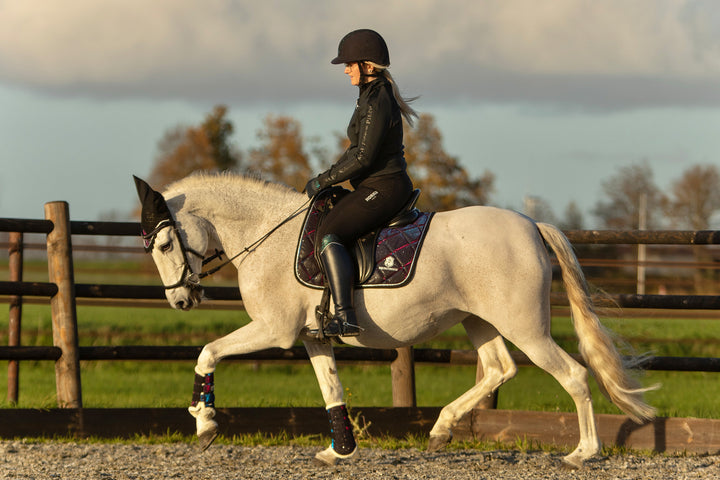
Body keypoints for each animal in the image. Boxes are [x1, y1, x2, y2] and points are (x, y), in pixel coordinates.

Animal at [132, 173, 656, 468]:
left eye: (165, 244)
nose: (181, 300)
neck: (265, 235)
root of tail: (530, 224)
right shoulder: (311, 337)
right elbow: (331, 389)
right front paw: (339, 451)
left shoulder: (273, 330)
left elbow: (208, 352)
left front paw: (204, 423)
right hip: (479, 321)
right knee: (498, 369)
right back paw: (441, 429)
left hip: (525, 327)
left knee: (574, 375)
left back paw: (583, 453)